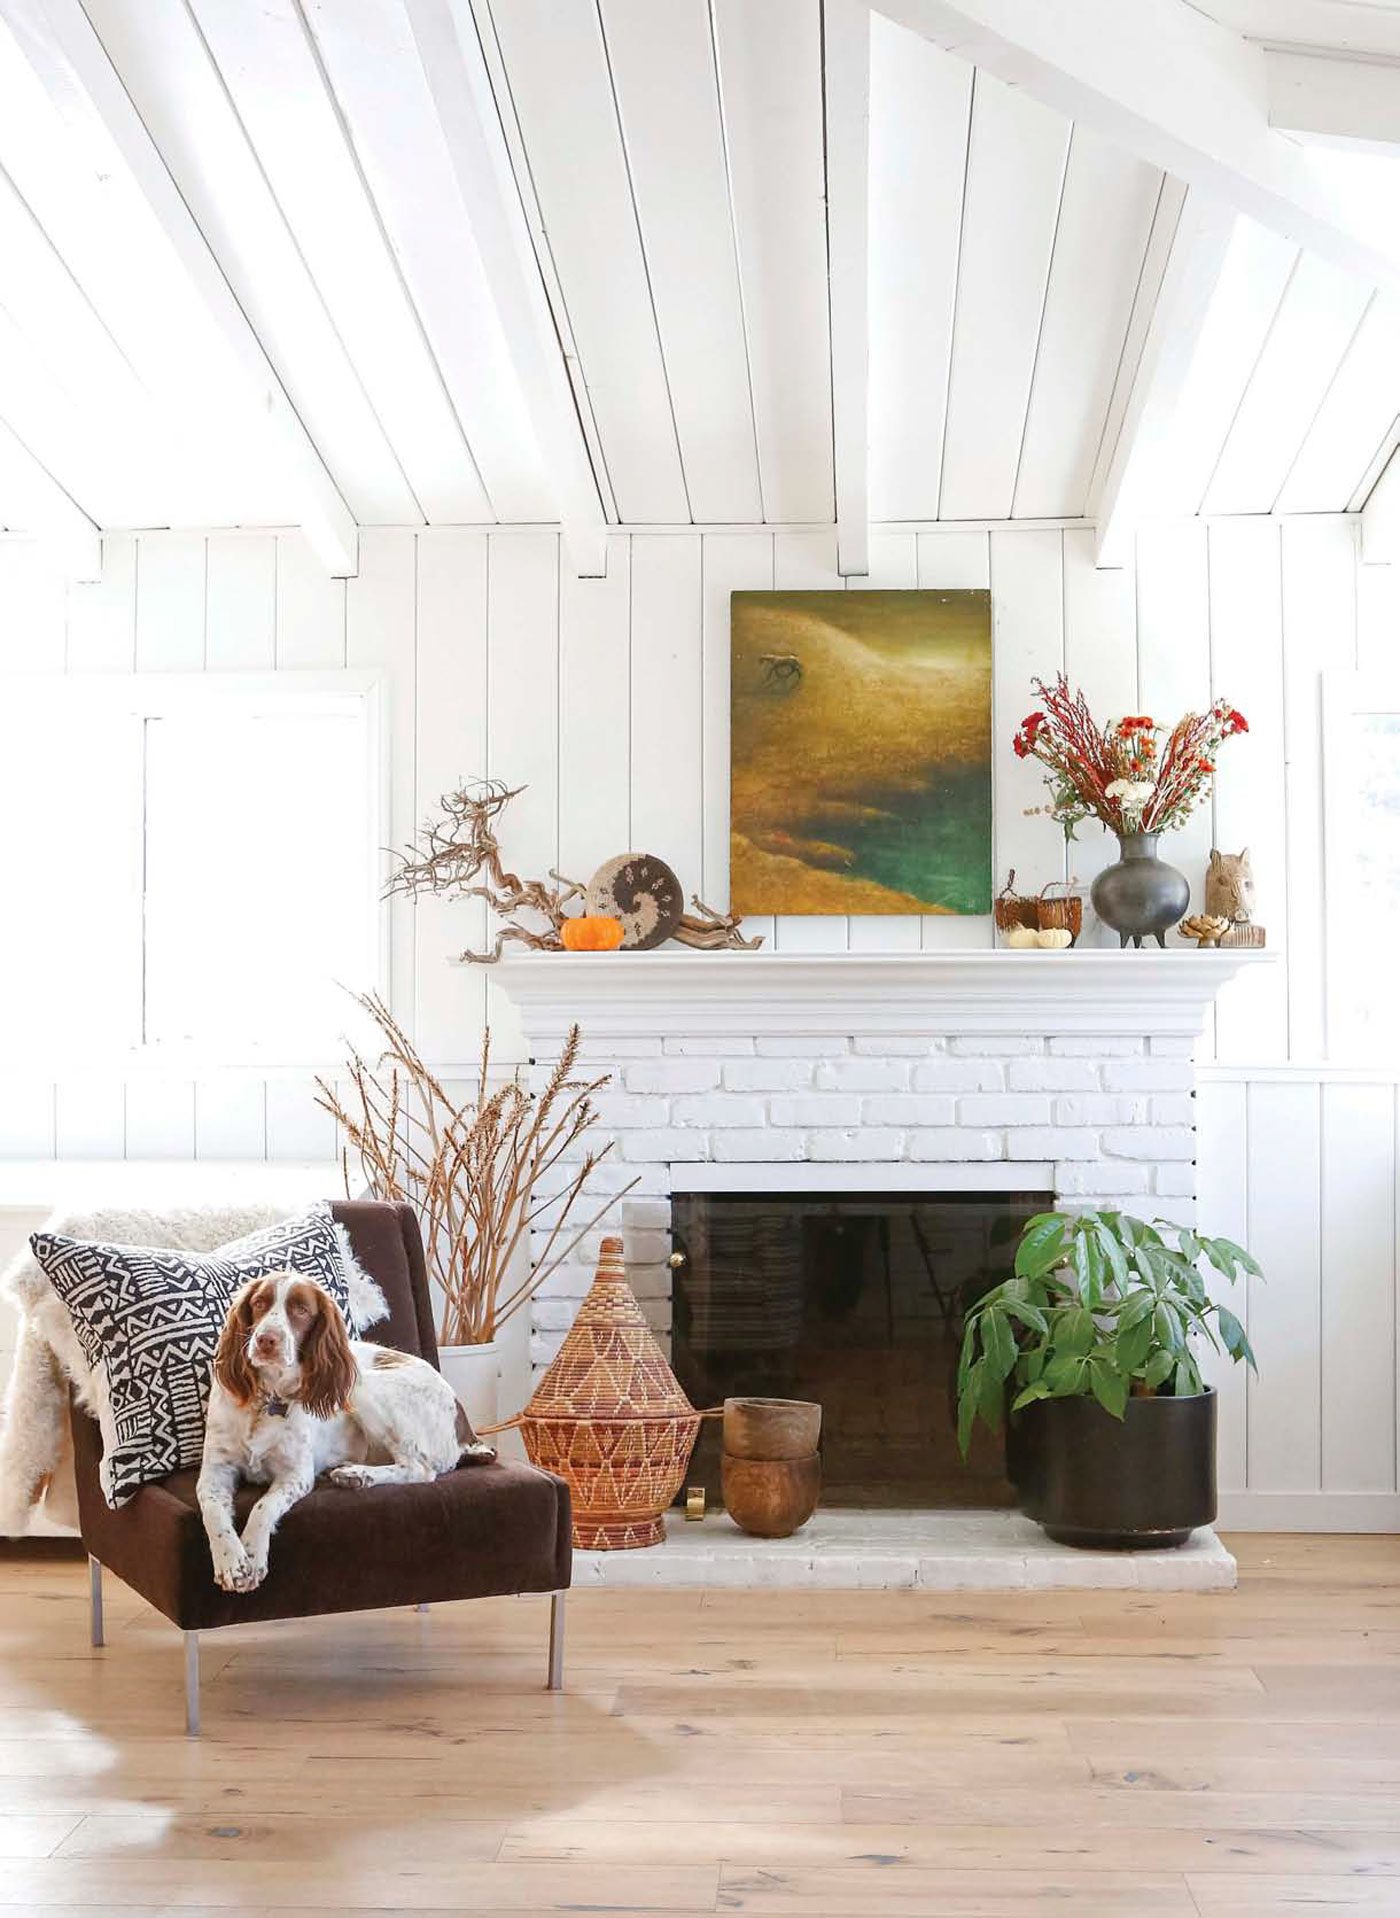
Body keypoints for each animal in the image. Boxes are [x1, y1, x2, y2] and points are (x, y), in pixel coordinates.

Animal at [194, 1273, 490, 1588]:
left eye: (302, 1310)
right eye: (259, 1303)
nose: (265, 1340)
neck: (267, 1399)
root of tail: (464, 1426)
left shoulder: (296, 1474)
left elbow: (264, 1506)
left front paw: (252, 1552)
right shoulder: (216, 1470)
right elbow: (212, 1510)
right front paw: (232, 1561)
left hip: (362, 1387)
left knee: (419, 1469)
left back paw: (356, 1474)